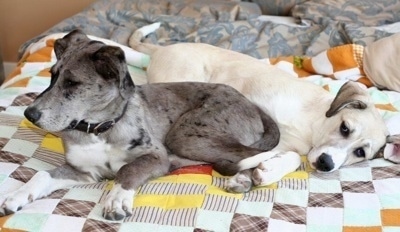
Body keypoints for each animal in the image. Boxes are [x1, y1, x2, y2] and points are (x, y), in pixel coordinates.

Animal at [129, 23, 400, 187]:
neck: (312, 125)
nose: (326, 164)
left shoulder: (282, 144)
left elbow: (291, 156)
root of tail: (162, 49)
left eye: (360, 153)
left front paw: (264, 172)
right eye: (345, 128)